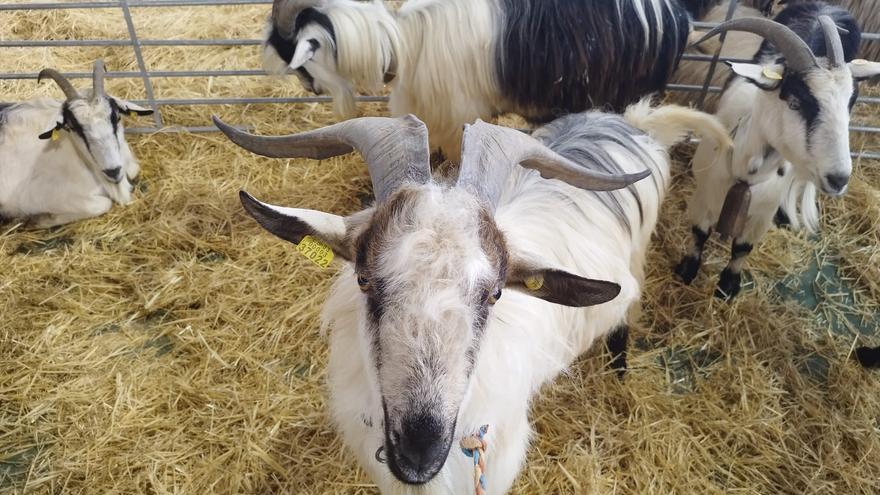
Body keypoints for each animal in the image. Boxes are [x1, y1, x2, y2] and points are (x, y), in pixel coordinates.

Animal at [0, 60, 153, 229]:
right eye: (72, 127)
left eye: (117, 117)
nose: (112, 171)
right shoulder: (39, 198)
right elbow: (102, 204)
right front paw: (38, 220)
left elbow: (133, 170)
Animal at [672, 3, 880, 300]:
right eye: (794, 102)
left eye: (850, 103)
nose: (839, 179)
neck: (746, 173)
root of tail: (823, 7)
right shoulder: (705, 193)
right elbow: (699, 233)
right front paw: (686, 271)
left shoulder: (762, 213)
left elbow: (742, 249)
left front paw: (728, 286)